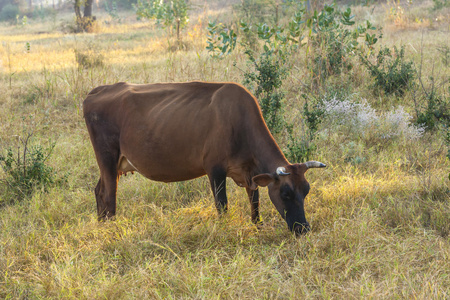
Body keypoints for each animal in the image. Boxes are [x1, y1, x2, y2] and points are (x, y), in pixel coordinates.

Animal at [82, 81, 326, 234]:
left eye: (306, 190)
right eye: (285, 193)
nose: (303, 229)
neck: (239, 122)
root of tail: (97, 91)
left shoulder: (250, 173)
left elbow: (254, 201)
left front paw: (258, 226)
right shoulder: (215, 169)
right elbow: (222, 206)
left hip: (114, 165)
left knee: (98, 190)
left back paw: (101, 225)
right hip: (107, 156)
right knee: (109, 194)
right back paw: (111, 228)